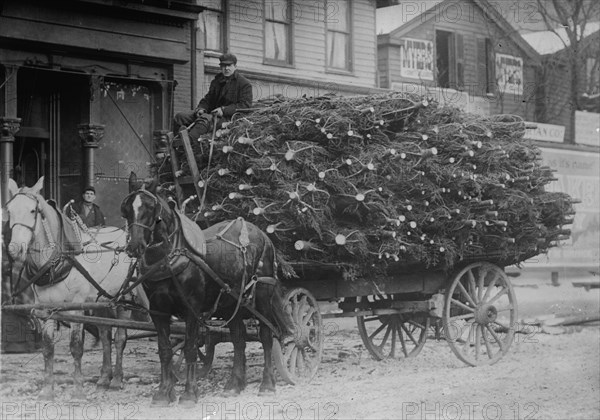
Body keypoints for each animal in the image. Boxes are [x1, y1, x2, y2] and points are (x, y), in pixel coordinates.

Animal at [5, 177, 150, 400]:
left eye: (32, 211)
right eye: (10, 210)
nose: (14, 249)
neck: (58, 260)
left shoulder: (75, 308)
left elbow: (76, 347)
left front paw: (78, 389)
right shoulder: (46, 309)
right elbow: (48, 348)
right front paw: (47, 389)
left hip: (123, 301)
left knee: (119, 339)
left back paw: (116, 380)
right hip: (101, 302)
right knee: (106, 337)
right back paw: (103, 378)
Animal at [120, 172, 296, 406]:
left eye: (150, 207)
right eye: (127, 208)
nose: (134, 246)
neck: (170, 257)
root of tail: (264, 236)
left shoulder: (192, 309)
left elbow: (190, 348)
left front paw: (189, 393)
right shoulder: (158, 311)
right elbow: (164, 350)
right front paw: (163, 392)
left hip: (261, 297)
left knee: (267, 336)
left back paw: (267, 384)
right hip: (233, 301)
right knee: (239, 339)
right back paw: (234, 385)